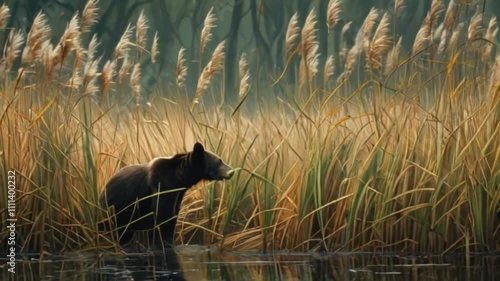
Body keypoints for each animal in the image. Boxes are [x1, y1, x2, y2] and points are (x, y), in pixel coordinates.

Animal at [98, 142, 233, 247]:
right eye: (219, 160)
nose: (231, 171)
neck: (179, 178)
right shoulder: (161, 185)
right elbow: (162, 216)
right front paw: (162, 242)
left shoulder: (177, 194)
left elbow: (172, 217)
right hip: (118, 208)